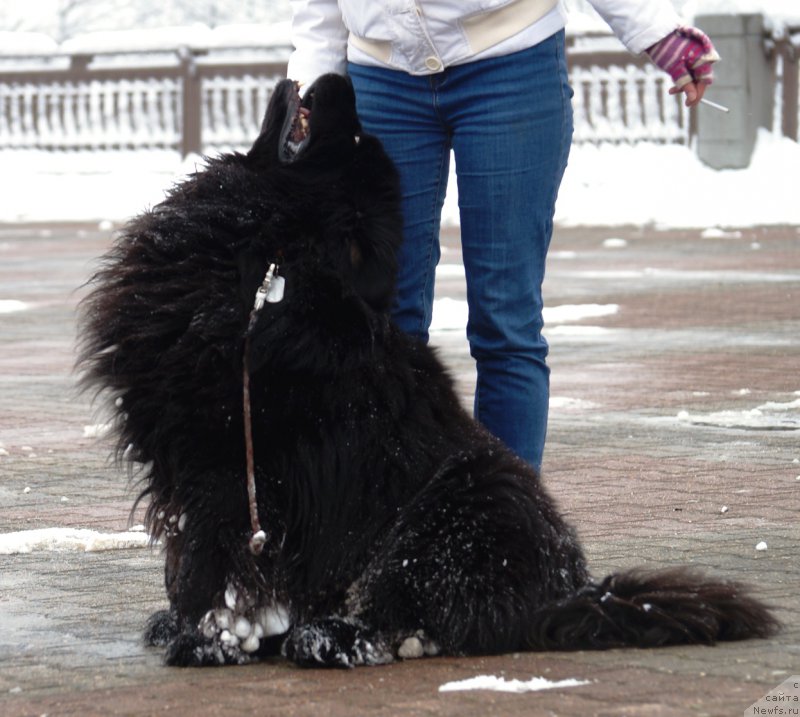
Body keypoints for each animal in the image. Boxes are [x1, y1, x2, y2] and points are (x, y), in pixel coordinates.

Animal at [78, 72, 780, 664]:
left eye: (352, 137)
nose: (340, 78)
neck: (268, 263)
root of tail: (571, 594)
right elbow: (191, 553)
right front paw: (185, 625)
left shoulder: (228, 458)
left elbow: (212, 556)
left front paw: (208, 639)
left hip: (448, 512)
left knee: (426, 617)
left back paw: (331, 639)